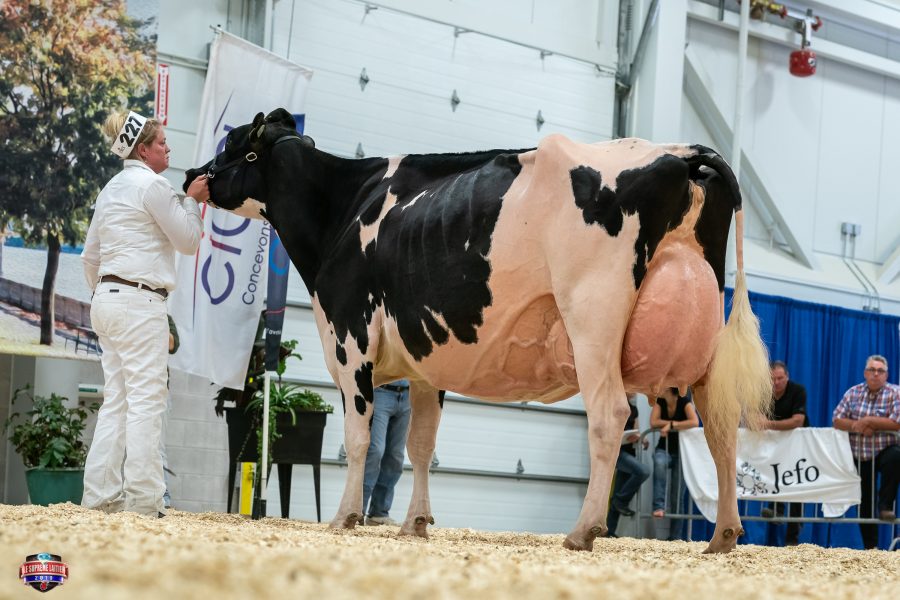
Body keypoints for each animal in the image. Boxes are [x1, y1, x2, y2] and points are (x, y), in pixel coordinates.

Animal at [185, 108, 772, 553]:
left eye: (233, 145)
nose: (193, 171)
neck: (341, 210)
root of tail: (682, 151)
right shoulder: (426, 362)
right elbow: (421, 444)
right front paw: (416, 523)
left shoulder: (350, 341)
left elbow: (358, 440)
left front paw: (344, 517)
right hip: (706, 340)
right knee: (721, 427)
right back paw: (723, 536)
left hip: (593, 320)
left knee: (609, 415)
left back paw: (583, 531)